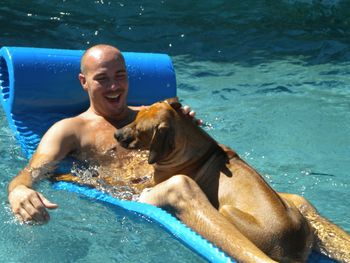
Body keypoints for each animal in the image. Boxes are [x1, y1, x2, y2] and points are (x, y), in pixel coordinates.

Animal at [115, 98, 314, 262]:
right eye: (135, 117)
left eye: (140, 130)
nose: (116, 134)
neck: (190, 148)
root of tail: (293, 250)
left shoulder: (154, 181)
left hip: (227, 210)